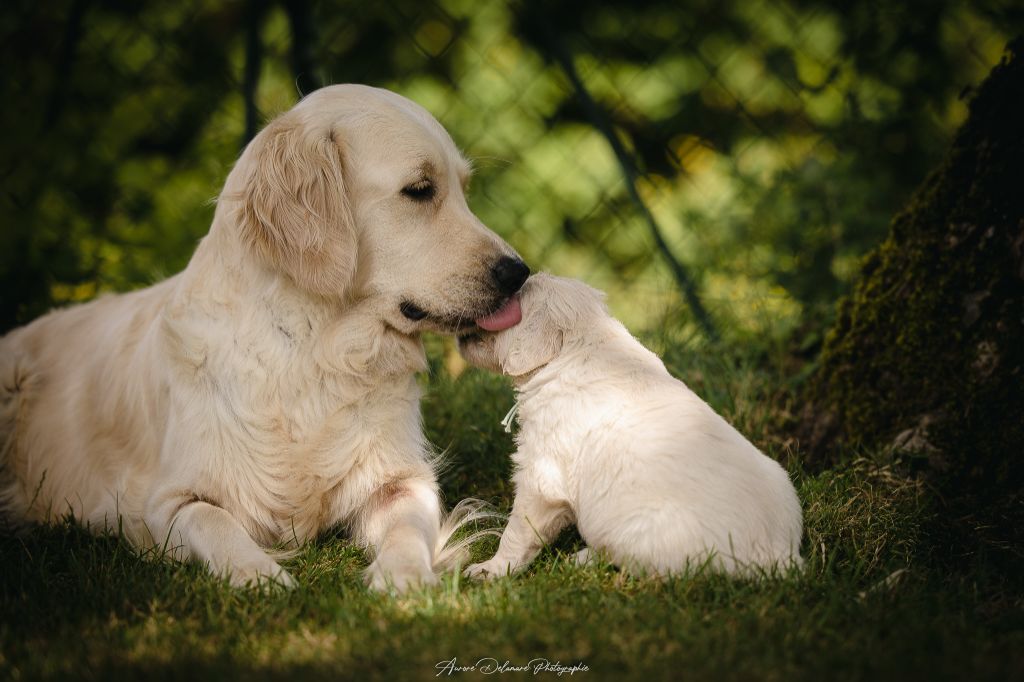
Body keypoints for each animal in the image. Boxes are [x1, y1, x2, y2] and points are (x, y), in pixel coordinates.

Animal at [0, 82, 528, 585]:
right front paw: (258, 574)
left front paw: (404, 575)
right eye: (419, 189)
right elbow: (213, 521)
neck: (313, 349)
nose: (517, 273)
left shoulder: (401, 479)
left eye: (463, 189)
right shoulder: (165, 502)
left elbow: (408, 524)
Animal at [460, 274, 802, 577]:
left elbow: (517, 531)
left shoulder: (541, 476)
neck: (573, 351)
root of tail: (778, 554)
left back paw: (580, 560)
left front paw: (490, 570)